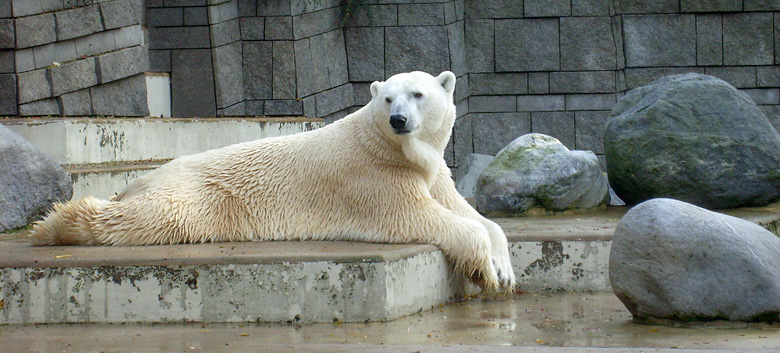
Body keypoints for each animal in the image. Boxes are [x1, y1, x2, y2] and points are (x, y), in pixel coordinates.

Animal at [30, 71, 516, 288]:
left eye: (418, 94)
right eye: (387, 99)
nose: (398, 120)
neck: (391, 147)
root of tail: (142, 179)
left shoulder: (433, 173)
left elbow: (474, 215)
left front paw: (505, 268)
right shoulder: (375, 178)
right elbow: (419, 216)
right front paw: (487, 271)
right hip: (201, 195)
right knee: (158, 217)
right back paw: (55, 224)